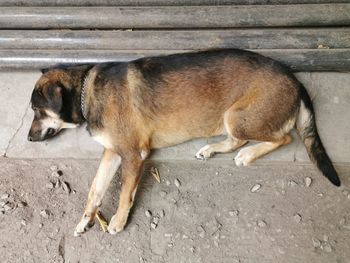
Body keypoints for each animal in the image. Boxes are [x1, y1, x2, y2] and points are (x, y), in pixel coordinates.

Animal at [28, 48, 342, 236]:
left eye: (36, 110)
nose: (29, 137)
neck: (86, 90)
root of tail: (293, 78)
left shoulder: (133, 154)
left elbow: (125, 193)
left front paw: (117, 220)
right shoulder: (113, 153)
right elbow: (95, 189)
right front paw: (86, 219)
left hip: (238, 117)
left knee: (282, 137)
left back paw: (248, 154)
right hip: (231, 119)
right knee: (236, 140)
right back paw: (212, 149)